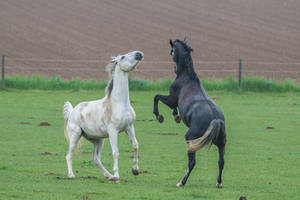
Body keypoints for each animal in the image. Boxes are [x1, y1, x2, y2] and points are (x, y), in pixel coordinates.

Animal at [62, 50, 144, 182]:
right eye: (123, 57)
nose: (139, 53)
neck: (119, 103)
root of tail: (72, 111)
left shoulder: (129, 127)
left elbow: (136, 145)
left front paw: (135, 170)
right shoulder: (113, 131)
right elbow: (115, 152)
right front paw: (117, 176)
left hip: (98, 141)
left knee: (96, 159)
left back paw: (108, 176)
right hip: (75, 136)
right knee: (69, 155)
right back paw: (71, 175)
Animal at [154, 39, 226, 188]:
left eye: (172, 52)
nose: (174, 68)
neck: (187, 77)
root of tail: (216, 120)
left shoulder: (171, 99)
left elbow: (157, 97)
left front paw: (159, 116)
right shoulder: (173, 101)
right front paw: (176, 116)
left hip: (190, 137)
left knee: (192, 162)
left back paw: (181, 182)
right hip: (221, 144)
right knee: (221, 162)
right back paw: (218, 183)